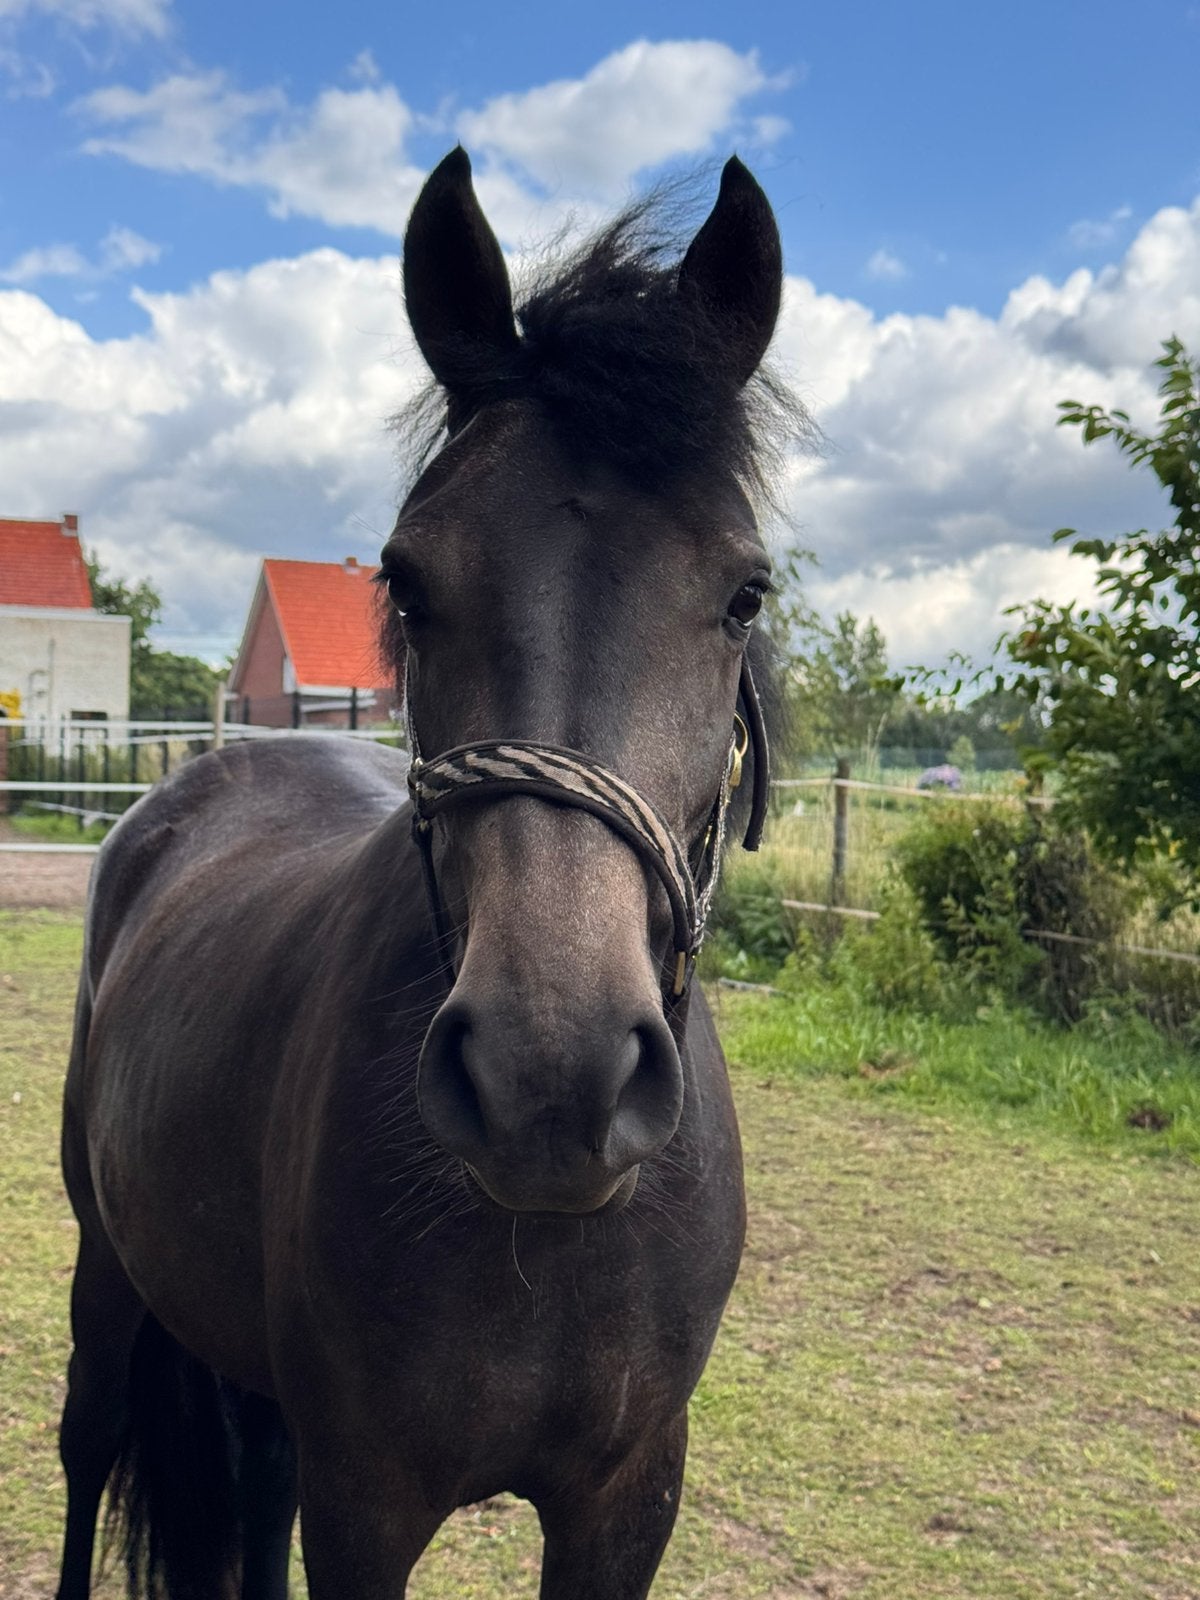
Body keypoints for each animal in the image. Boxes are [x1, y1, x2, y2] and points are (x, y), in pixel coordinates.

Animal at [54, 146, 801, 1599]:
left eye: (744, 592)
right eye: (406, 579)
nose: (548, 1081)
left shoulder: (627, 1504)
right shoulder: (368, 1502)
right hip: (107, 1266)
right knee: (87, 1442)